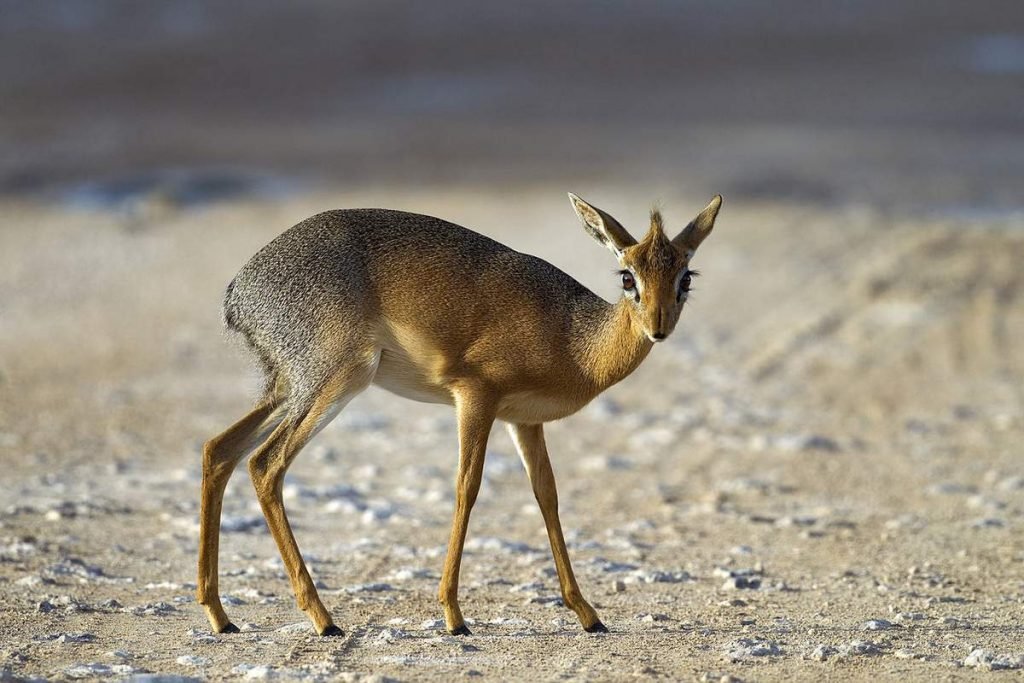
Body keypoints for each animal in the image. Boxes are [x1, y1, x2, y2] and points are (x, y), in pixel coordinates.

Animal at [197, 191, 720, 634]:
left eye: (685, 277)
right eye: (628, 276)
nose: (658, 328)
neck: (572, 338)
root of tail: (239, 292)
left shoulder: (525, 421)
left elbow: (547, 495)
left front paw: (587, 614)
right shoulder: (475, 397)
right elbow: (466, 487)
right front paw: (453, 615)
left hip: (289, 387)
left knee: (219, 449)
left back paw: (221, 615)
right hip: (336, 381)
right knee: (266, 463)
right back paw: (323, 619)